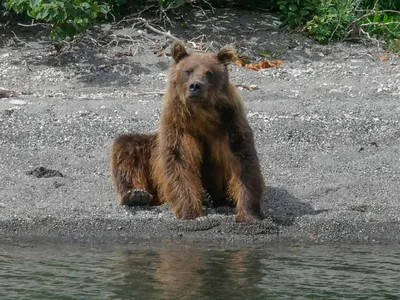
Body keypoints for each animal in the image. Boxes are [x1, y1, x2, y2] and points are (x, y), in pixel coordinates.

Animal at [109, 41, 266, 221]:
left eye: (209, 73)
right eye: (188, 71)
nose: (195, 86)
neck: (202, 115)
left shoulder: (230, 122)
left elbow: (243, 161)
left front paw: (249, 213)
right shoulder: (178, 125)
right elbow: (179, 162)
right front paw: (191, 212)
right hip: (149, 151)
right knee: (127, 147)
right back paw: (135, 194)